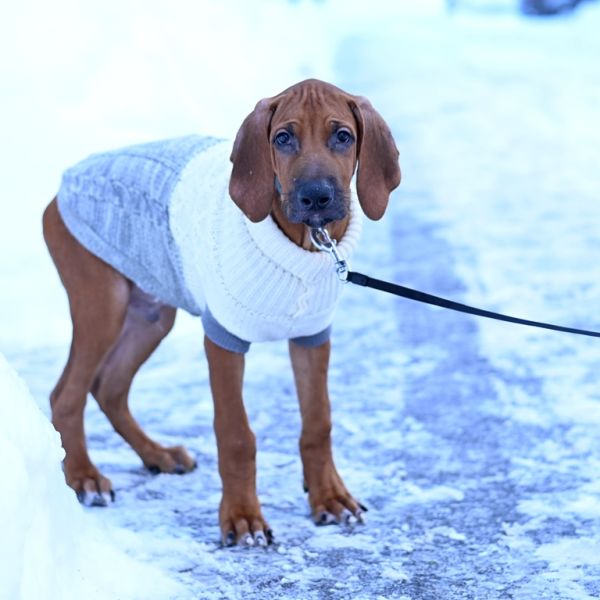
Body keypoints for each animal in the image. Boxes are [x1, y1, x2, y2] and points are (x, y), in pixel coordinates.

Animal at [42, 79, 401, 546]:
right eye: (282, 138)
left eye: (343, 136)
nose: (315, 197)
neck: (304, 243)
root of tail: (65, 183)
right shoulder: (223, 339)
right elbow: (236, 436)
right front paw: (243, 518)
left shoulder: (311, 336)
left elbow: (318, 422)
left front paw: (329, 497)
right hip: (102, 306)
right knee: (66, 395)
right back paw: (84, 476)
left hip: (151, 314)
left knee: (109, 387)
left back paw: (158, 454)